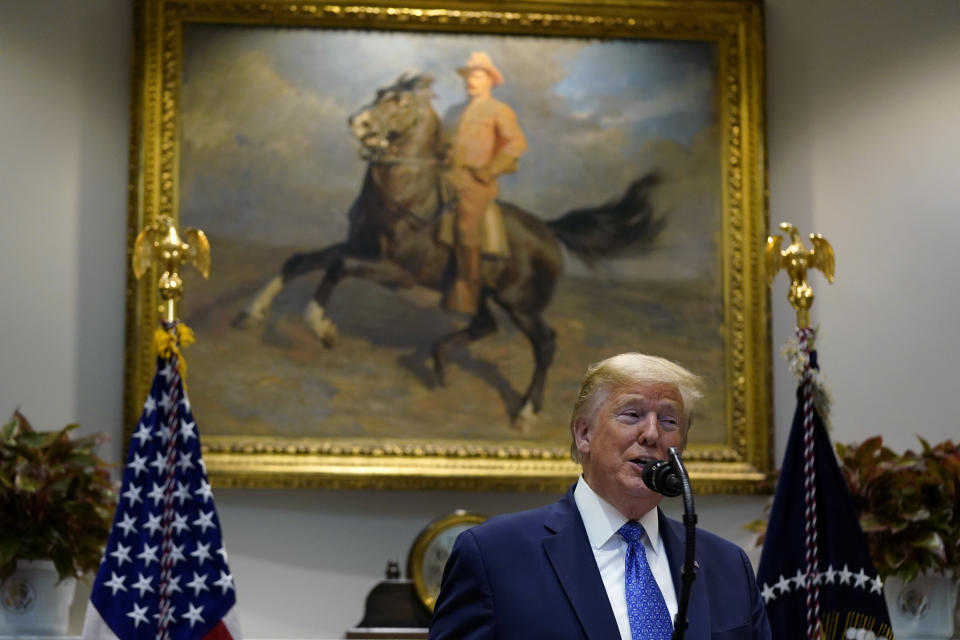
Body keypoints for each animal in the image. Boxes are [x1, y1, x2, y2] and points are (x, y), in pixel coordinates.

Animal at [236, 72, 664, 428]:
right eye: (378, 93)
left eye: (401, 102)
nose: (359, 122)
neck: (409, 198)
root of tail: (548, 229)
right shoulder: (360, 248)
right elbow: (302, 261)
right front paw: (251, 312)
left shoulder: (395, 272)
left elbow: (337, 267)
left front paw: (321, 327)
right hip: (479, 290)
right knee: (484, 325)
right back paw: (441, 361)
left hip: (520, 304)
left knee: (544, 343)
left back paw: (525, 410)